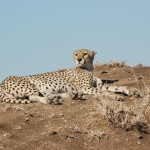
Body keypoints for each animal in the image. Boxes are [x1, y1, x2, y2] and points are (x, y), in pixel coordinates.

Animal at [0, 49, 140, 104]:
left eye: (85, 54)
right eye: (76, 54)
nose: (78, 59)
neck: (88, 68)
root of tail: (3, 81)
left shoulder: (95, 86)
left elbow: (113, 87)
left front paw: (129, 90)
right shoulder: (86, 88)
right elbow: (102, 92)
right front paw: (115, 96)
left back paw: (71, 95)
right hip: (30, 86)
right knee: (33, 96)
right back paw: (50, 100)